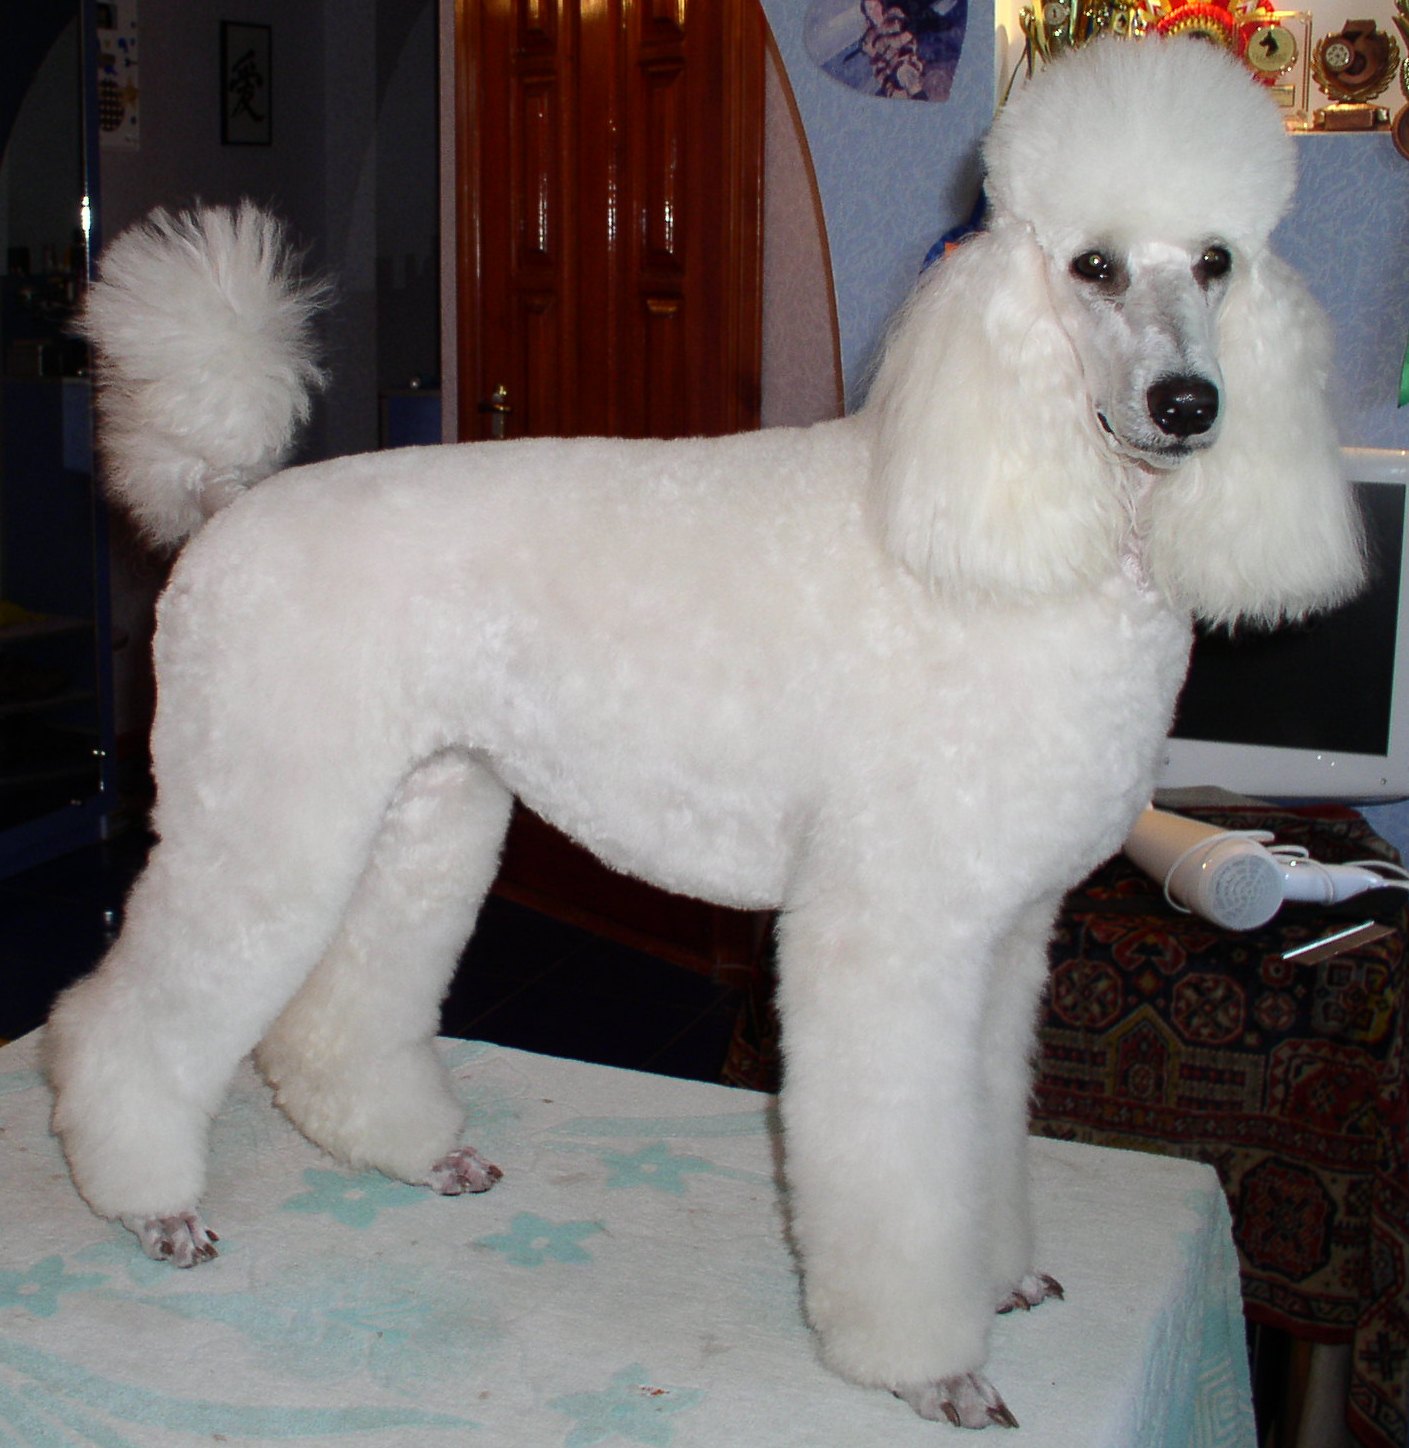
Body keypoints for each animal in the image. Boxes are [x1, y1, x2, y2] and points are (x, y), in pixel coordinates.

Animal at [47, 39, 1362, 1429]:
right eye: (1091, 267)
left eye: (1215, 261)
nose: (1187, 403)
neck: (1028, 505)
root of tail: (225, 504)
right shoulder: (890, 926)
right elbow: (897, 1170)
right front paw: (928, 1363)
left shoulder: (1002, 936)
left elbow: (984, 1130)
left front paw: (999, 1274)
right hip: (262, 805)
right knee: (123, 1017)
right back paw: (149, 1203)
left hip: (420, 811)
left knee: (330, 1014)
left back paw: (409, 1151)